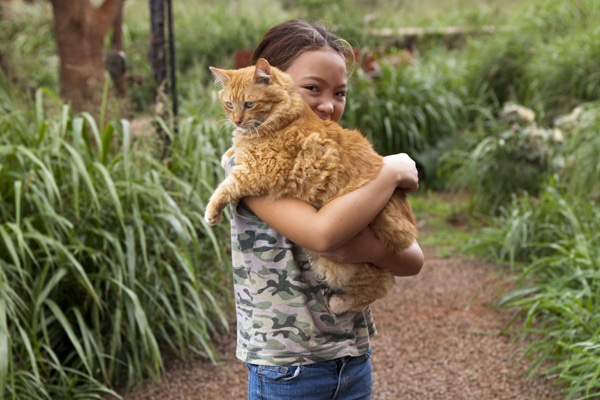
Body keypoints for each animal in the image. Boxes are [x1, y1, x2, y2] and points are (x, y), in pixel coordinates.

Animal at [204, 58, 414, 316]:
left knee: (378, 288)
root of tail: (408, 232)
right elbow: (235, 154)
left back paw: (338, 304)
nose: (236, 121)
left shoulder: (262, 170)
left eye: (249, 104)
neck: (285, 117)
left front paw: (211, 212)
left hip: (340, 264)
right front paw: (228, 153)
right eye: (229, 104)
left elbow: (227, 185)